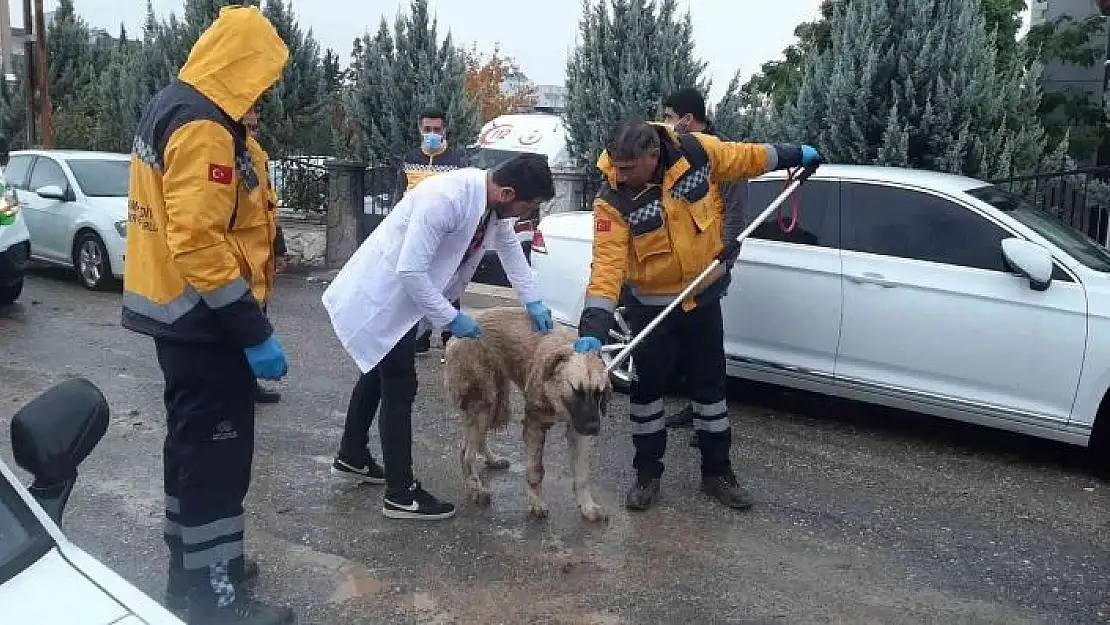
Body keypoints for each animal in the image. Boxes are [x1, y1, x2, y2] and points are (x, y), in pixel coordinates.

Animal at [444, 306, 617, 521]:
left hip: (496, 402)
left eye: (599, 393)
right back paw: (476, 488)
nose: (594, 428)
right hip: (484, 404)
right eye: (577, 391)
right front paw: (536, 503)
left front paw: (587, 507)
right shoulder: (534, 425)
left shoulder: (577, 429)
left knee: (470, 444)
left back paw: (491, 462)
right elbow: (536, 469)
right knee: (467, 453)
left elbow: (582, 473)